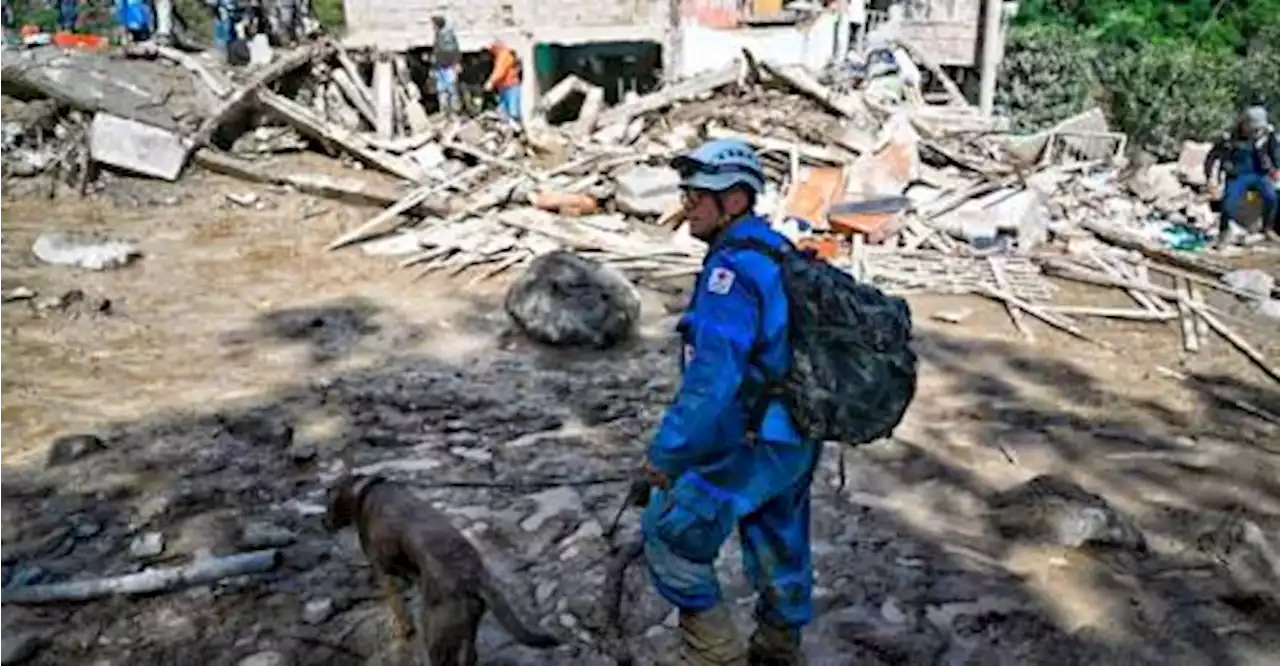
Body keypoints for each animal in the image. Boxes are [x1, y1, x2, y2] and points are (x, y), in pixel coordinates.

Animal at [325, 473, 560, 666]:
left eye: (327, 505)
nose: (323, 523)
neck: (363, 491)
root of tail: (474, 579)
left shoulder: (386, 573)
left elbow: (397, 607)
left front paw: (402, 628)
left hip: (436, 632)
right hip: (464, 629)